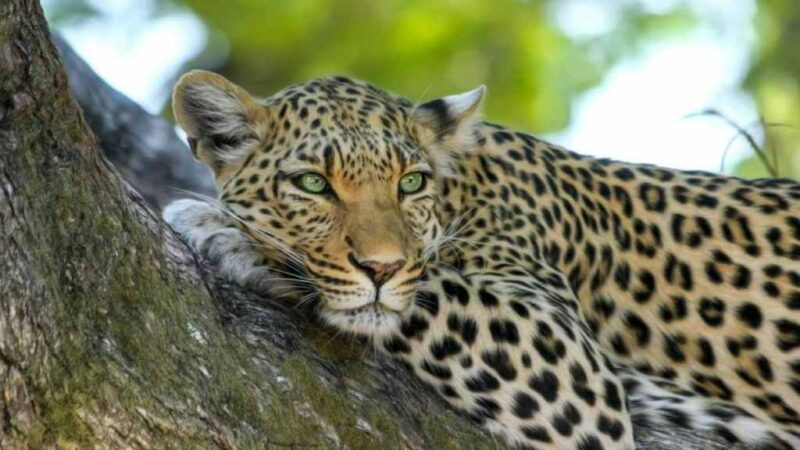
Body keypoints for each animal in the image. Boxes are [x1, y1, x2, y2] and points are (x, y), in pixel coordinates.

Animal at [163, 69, 800, 449]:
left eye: (411, 183)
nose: (381, 268)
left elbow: (432, 289)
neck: (463, 188)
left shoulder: (569, 365)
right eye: (314, 184)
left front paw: (227, 232)